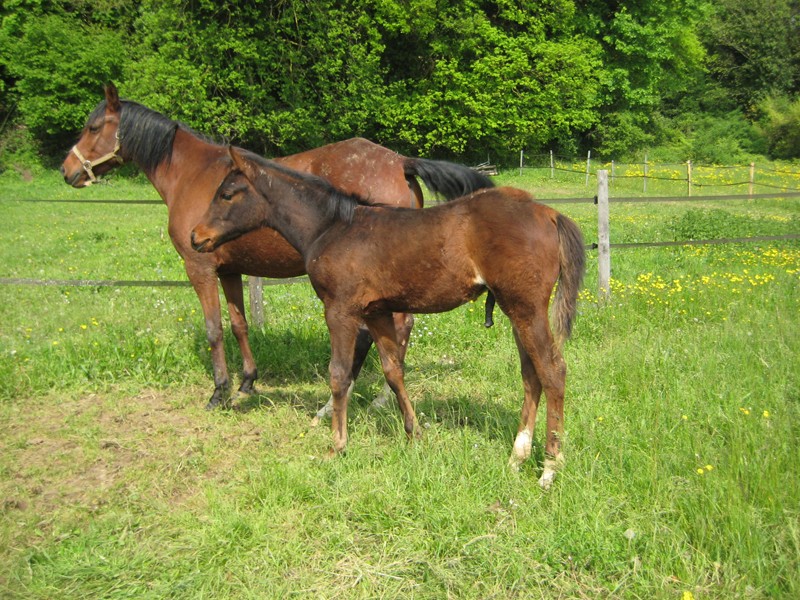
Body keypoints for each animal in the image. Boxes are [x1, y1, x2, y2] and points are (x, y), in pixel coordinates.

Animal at [61, 85, 494, 412]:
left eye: (93, 126)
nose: (67, 171)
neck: (193, 174)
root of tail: (399, 161)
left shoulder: (199, 267)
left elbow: (214, 329)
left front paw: (219, 392)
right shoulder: (230, 269)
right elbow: (239, 324)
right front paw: (247, 382)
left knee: (393, 328)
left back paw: (374, 399)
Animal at [191, 148, 584, 490]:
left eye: (227, 193)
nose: (196, 237)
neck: (332, 228)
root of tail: (549, 214)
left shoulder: (340, 310)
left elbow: (338, 374)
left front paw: (337, 446)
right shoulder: (377, 311)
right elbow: (394, 371)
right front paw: (414, 434)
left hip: (526, 307)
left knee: (553, 371)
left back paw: (549, 468)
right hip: (514, 308)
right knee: (531, 374)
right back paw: (517, 457)